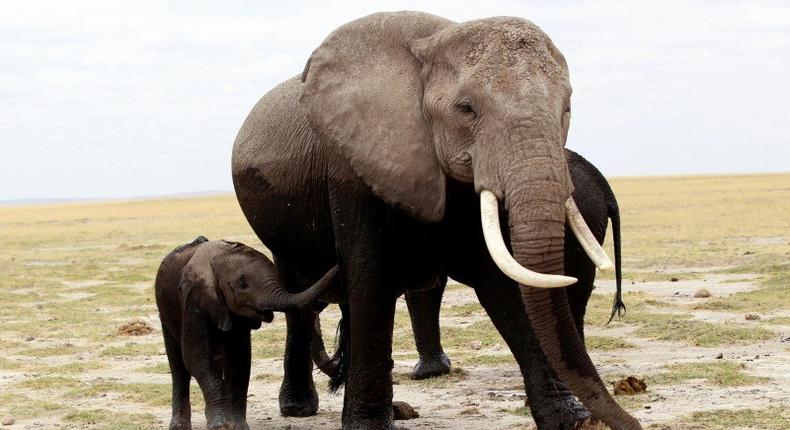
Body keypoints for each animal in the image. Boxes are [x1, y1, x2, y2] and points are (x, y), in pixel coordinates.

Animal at [156, 237, 338, 430]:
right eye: (243, 285)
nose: (337, 265)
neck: (220, 257)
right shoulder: (194, 304)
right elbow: (198, 358)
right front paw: (219, 426)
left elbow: (240, 359)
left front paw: (237, 426)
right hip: (165, 312)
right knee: (178, 366)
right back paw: (179, 426)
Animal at [232, 10, 640, 430]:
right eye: (466, 109)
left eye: (566, 110)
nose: (634, 423)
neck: (435, 41)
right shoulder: (352, 169)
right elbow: (372, 278)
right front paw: (368, 427)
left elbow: (502, 282)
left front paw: (570, 421)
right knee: (299, 294)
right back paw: (300, 408)